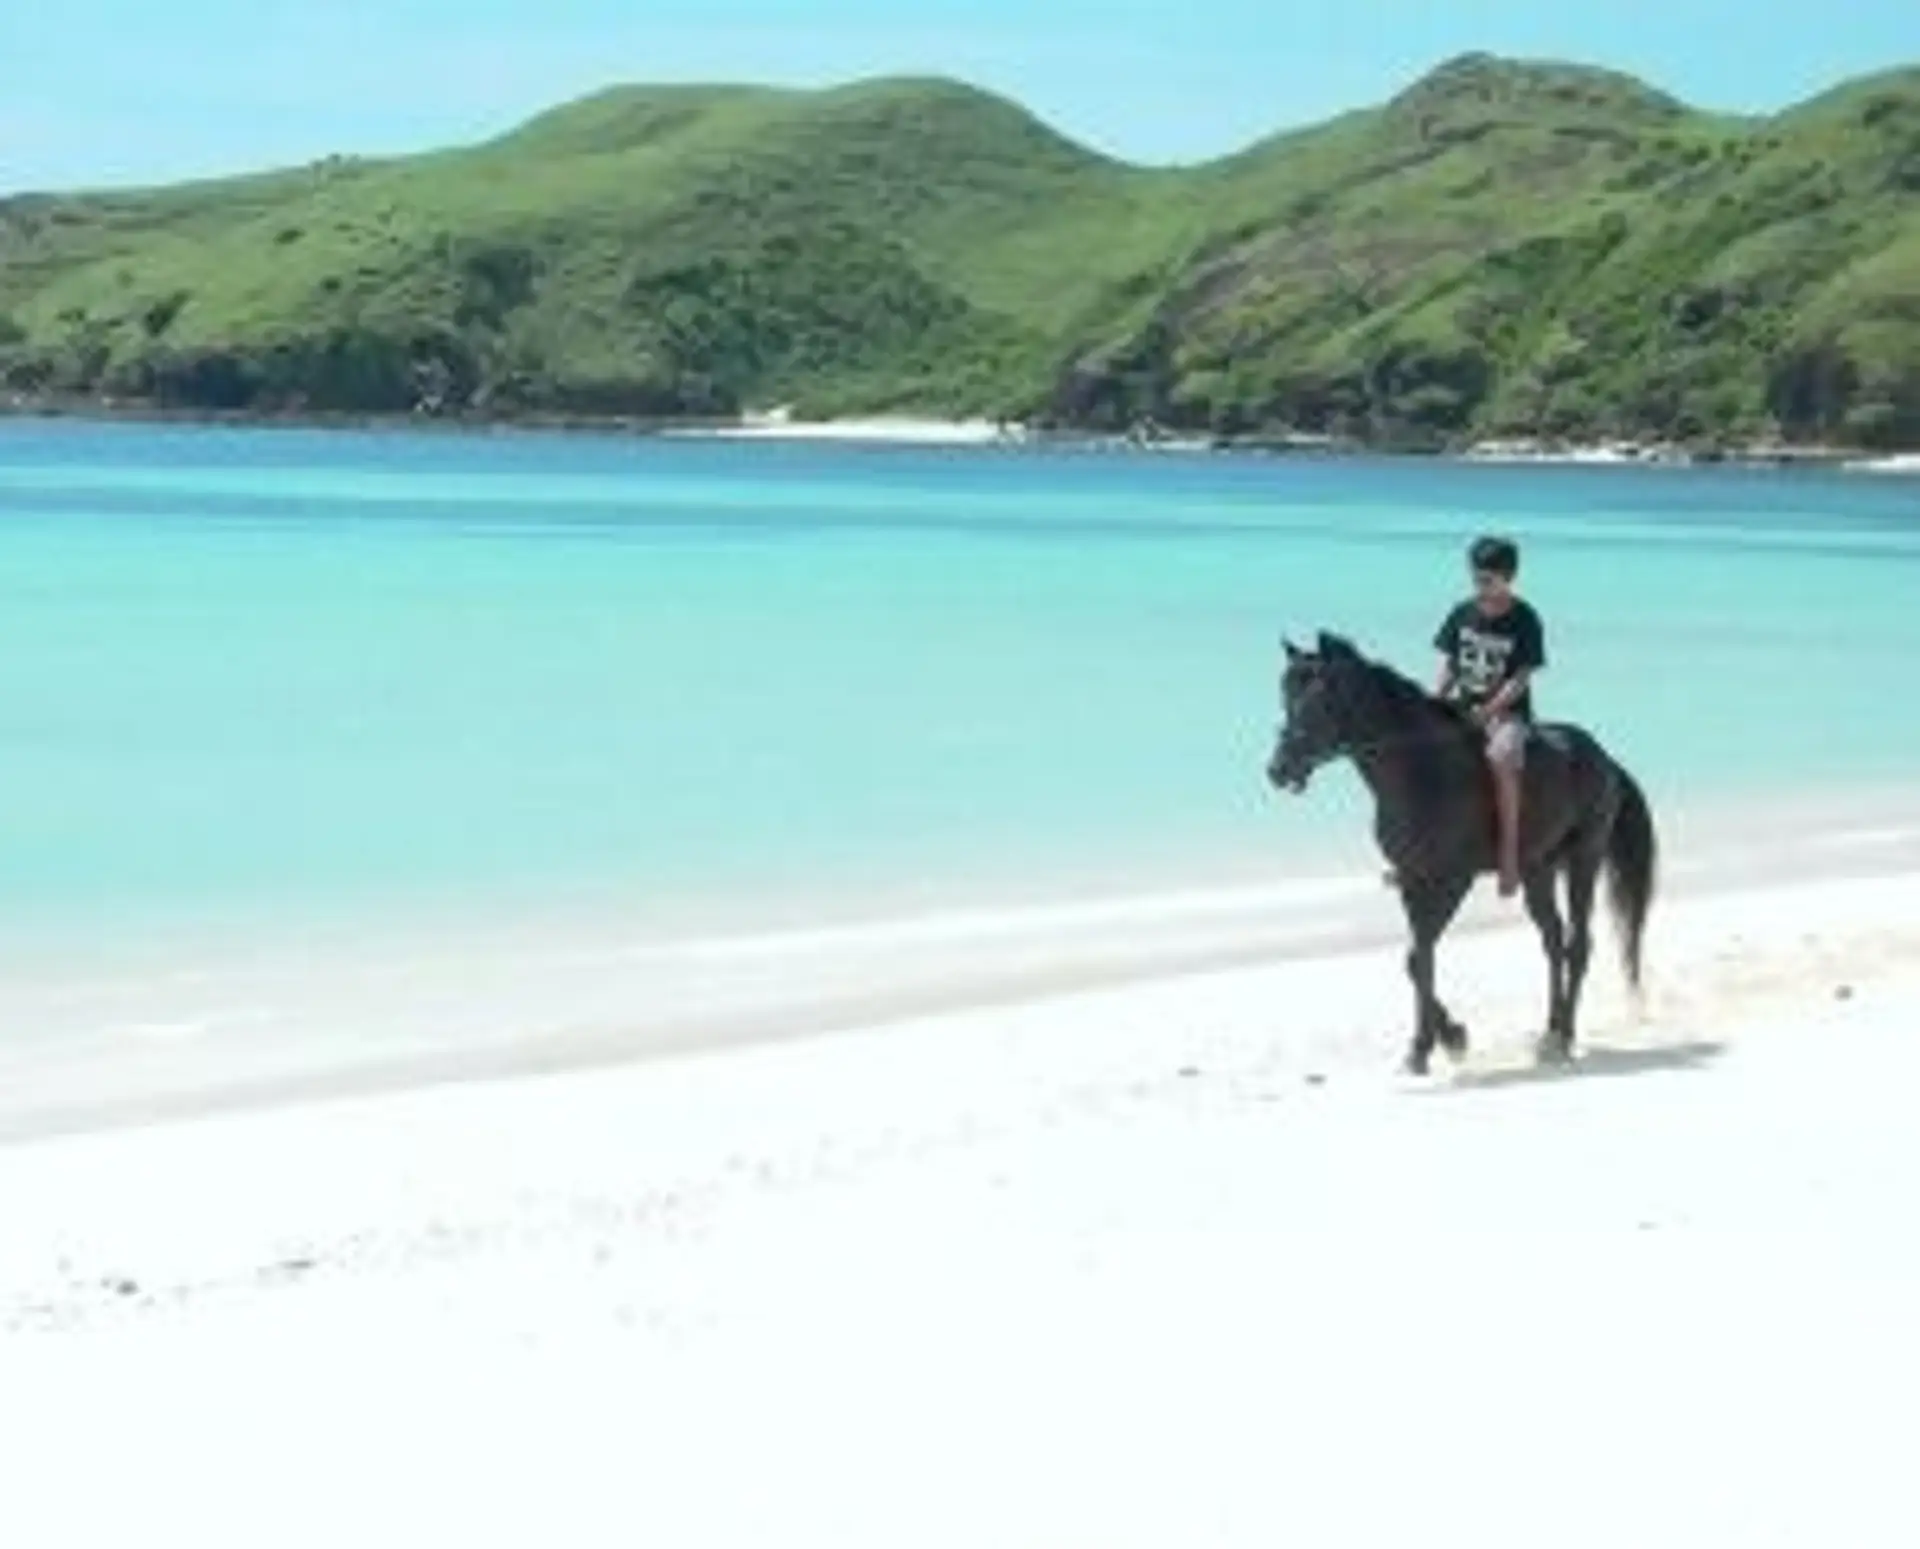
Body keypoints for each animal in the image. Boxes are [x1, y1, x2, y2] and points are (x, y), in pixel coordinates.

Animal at [1266, 632, 1656, 1075]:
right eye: (1285, 696)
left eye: (1318, 700)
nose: (1277, 769)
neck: (1418, 769)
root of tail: (1605, 758)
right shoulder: (1412, 879)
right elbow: (1417, 959)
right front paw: (1438, 1041)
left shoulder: (1452, 880)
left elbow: (1419, 958)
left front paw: (1437, 1043)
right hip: (1538, 869)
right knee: (1553, 940)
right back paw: (1550, 1032)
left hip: (1583, 860)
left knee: (1577, 945)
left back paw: (1565, 1036)